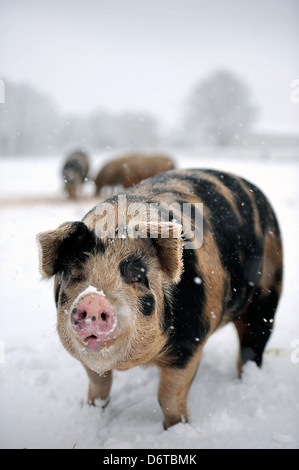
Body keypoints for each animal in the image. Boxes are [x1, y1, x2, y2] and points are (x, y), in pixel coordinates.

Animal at [37, 169, 284, 430]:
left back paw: (244, 381)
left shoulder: (189, 342)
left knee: (252, 346)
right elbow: (98, 384)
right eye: (76, 274)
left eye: (137, 276)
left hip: (267, 293)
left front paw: (176, 428)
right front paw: (92, 410)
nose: (93, 299)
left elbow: (168, 396)